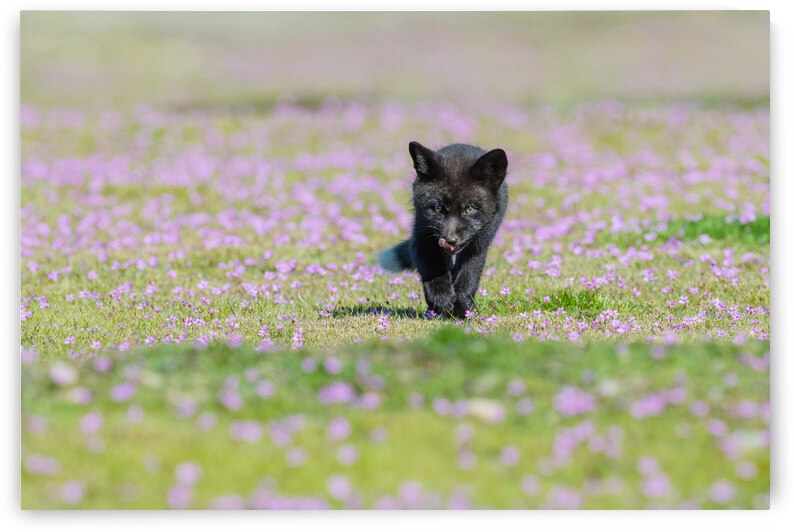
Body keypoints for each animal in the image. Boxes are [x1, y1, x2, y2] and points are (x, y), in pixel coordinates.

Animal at [377, 141, 509, 319]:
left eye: (469, 209)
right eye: (438, 208)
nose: (450, 240)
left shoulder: (478, 245)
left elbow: (468, 278)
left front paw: (461, 312)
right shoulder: (423, 237)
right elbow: (432, 270)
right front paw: (441, 300)